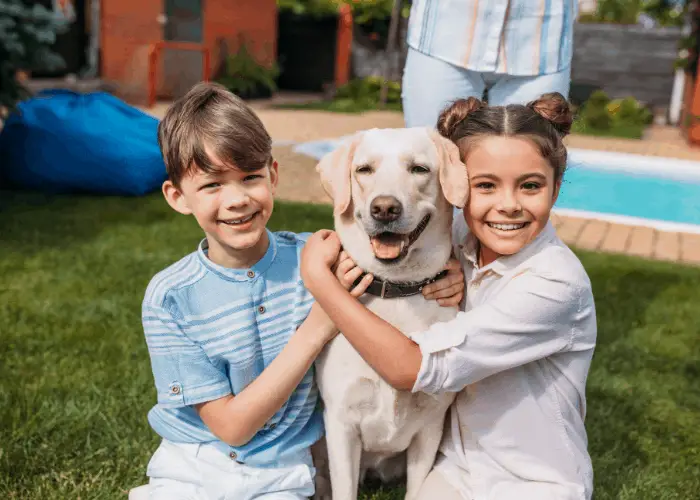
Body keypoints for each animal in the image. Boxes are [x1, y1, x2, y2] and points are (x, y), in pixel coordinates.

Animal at [314, 128, 468, 500]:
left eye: (419, 169)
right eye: (364, 170)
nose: (385, 208)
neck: (396, 289)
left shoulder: (430, 426)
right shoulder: (341, 424)